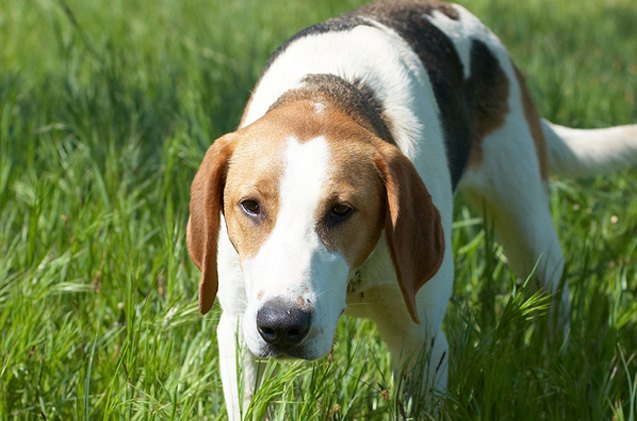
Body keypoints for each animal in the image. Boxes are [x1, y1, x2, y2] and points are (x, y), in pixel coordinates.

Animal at [185, 0, 636, 416]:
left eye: (341, 210)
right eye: (250, 206)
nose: (282, 325)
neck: (327, 91)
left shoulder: (422, 341)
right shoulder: (239, 330)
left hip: (528, 229)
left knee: (553, 295)